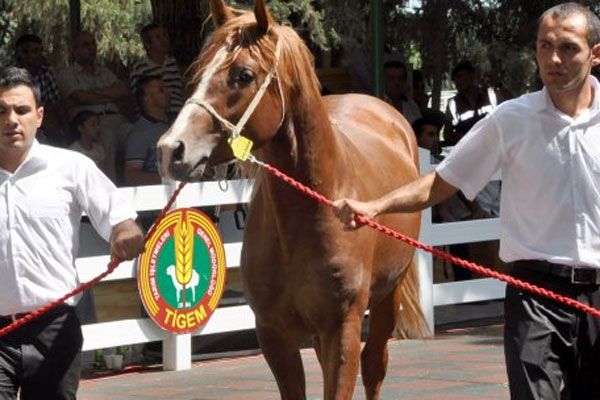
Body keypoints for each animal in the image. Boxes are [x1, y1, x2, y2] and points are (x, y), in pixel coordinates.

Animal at [156, 1, 426, 398]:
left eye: (243, 75)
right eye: (200, 70)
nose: (171, 149)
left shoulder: (342, 329)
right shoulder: (273, 334)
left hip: (386, 297)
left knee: (375, 363)